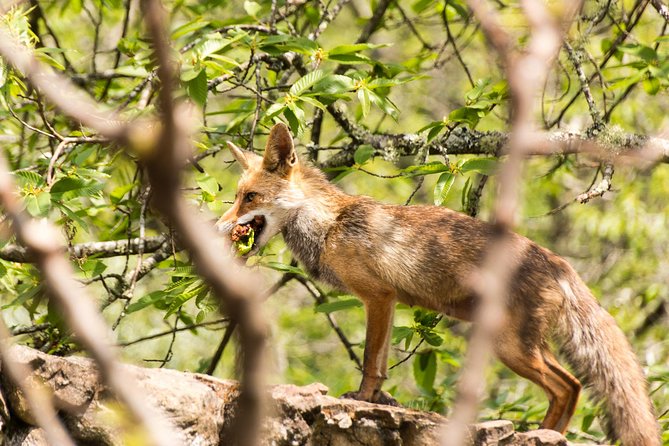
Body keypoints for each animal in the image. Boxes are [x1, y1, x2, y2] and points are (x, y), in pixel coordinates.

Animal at [217, 123, 660, 446]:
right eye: (236, 196)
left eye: (249, 197)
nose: (217, 227)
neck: (330, 227)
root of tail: (561, 264)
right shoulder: (389, 300)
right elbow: (381, 364)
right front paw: (378, 401)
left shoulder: (377, 296)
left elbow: (370, 362)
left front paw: (361, 399)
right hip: (523, 346)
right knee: (569, 388)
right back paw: (546, 433)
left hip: (511, 347)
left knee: (569, 386)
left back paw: (542, 434)